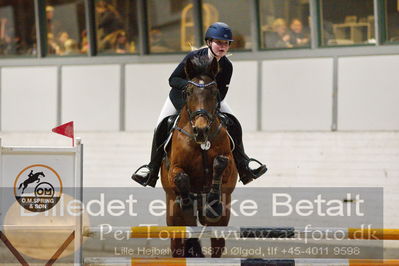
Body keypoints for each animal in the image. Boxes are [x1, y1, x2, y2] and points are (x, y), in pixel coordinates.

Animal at [161, 54, 239, 258]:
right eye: (188, 92)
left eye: (214, 92)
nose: (201, 130)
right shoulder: (174, 168)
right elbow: (181, 177)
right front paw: (188, 203)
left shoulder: (227, 163)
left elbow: (220, 163)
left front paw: (212, 201)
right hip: (173, 218)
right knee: (177, 247)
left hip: (221, 220)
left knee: (217, 245)